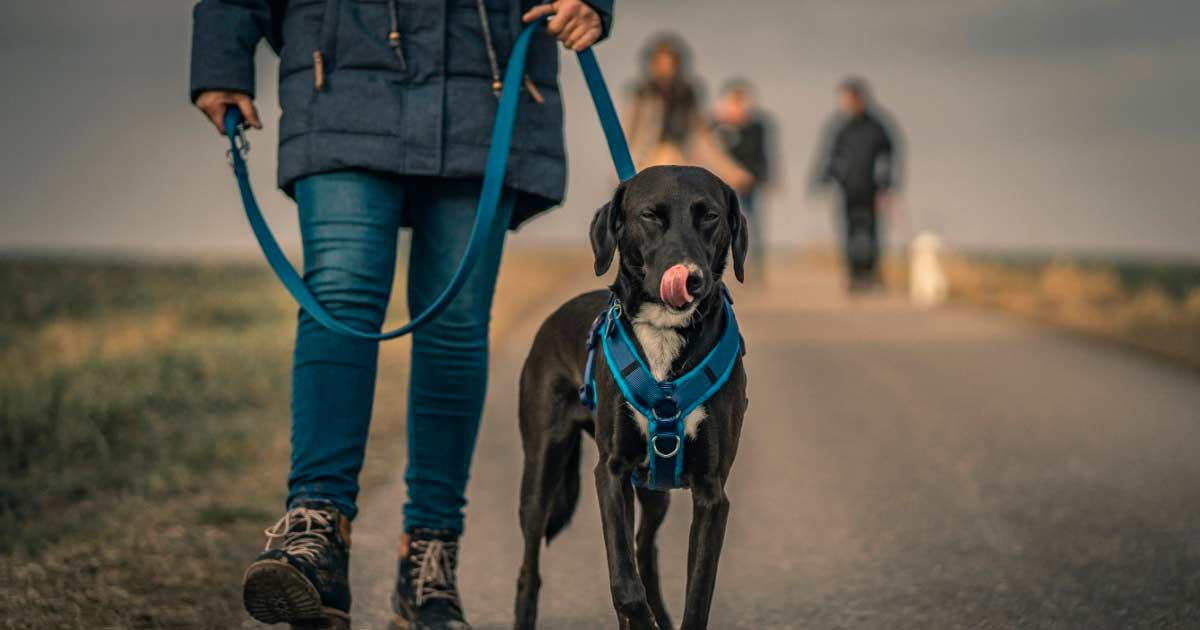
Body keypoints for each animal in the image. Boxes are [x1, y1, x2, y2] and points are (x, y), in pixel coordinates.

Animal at [511, 165, 744, 628]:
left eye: (709, 216)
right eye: (651, 216)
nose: (691, 278)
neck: (665, 331)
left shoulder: (712, 493)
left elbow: (697, 592)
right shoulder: (612, 473)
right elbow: (623, 582)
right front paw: (639, 617)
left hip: (655, 488)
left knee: (644, 547)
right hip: (542, 470)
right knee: (532, 566)